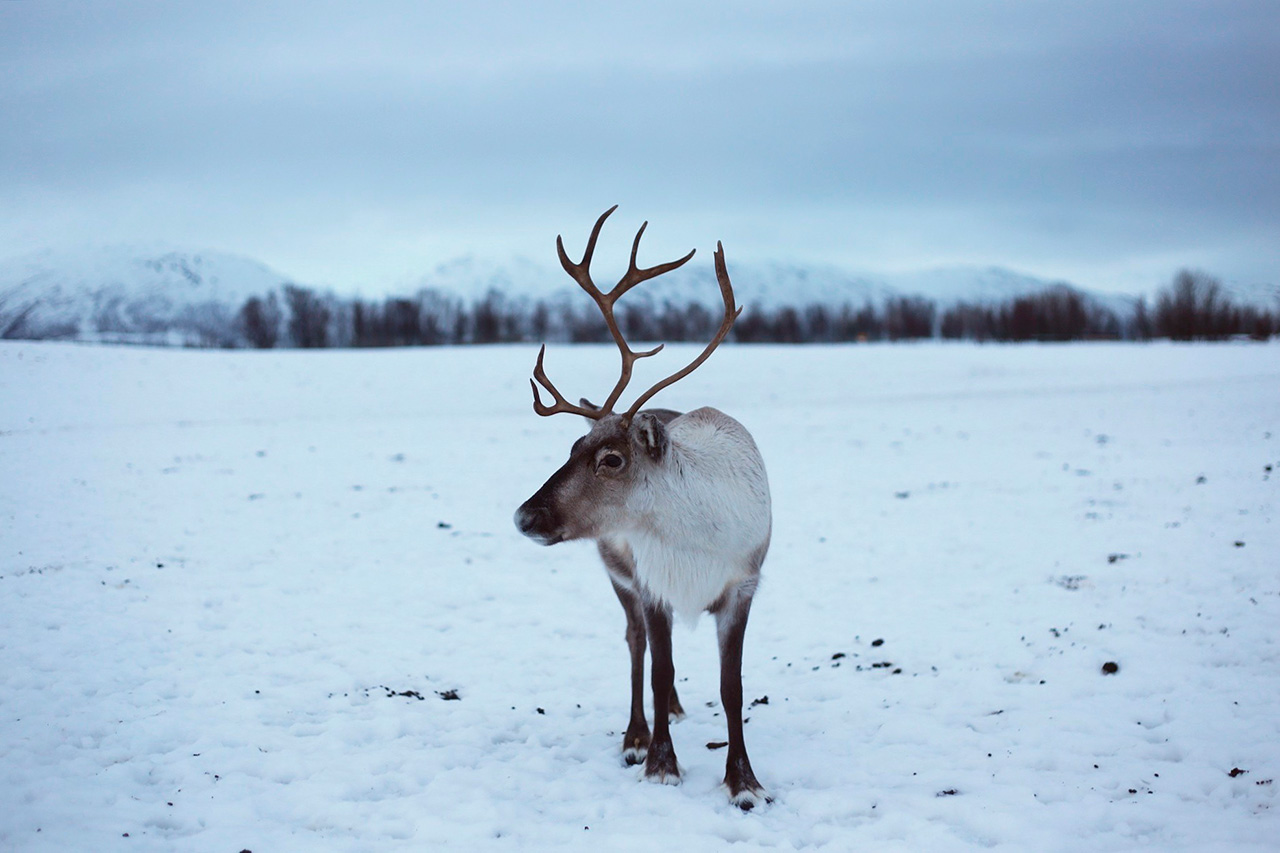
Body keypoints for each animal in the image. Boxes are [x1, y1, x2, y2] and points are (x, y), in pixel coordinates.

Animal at [513, 206, 772, 810]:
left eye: (611, 458)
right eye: (572, 447)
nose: (524, 516)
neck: (697, 537)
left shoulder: (743, 585)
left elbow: (732, 687)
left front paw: (744, 782)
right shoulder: (653, 583)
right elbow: (656, 667)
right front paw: (659, 763)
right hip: (618, 573)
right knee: (637, 648)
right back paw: (637, 734)